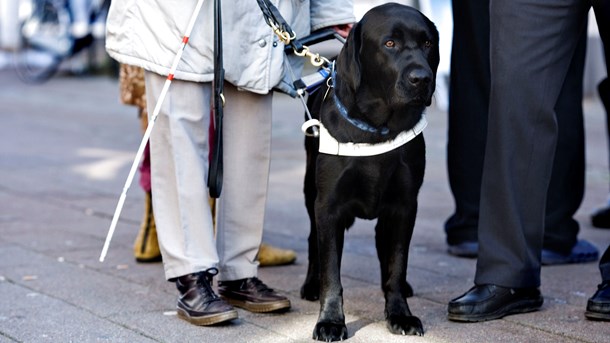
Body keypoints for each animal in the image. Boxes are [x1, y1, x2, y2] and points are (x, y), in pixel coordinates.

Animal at [298, 2, 436, 342]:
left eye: (428, 43)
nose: (422, 78)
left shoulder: (404, 205)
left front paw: (400, 314)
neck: (379, 127)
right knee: (312, 240)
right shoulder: (328, 206)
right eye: (390, 43)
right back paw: (310, 283)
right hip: (309, 191)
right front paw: (330, 321)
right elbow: (331, 273)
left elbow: (397, 264)